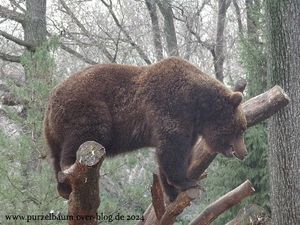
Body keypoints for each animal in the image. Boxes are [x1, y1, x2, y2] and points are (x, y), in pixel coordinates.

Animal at [43, 57, 247, 201]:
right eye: (241, 129)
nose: (244, 152)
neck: (199, 108)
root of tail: (51, 99)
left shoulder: (189, 125)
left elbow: (177, 151)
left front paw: (171, 190)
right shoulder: (172, 107)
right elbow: (171, 149)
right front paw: (188, 182)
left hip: (52, 132)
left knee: (55, 154)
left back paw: (64, 188)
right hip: (87, 108)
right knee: (83, 138)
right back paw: (70, 172)